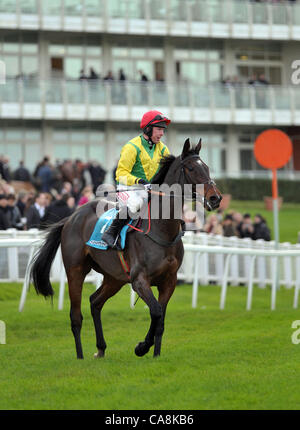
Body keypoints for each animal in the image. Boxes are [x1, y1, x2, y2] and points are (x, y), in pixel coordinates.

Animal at [29, 139, 223, 360]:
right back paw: (80, 356)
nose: (216, 198)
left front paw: (155, 353)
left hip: (114, 277)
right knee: (76, 315)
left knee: (95, 302)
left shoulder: (169, 281)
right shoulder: (139, 280)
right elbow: (156, 311)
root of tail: (70, 218)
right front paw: (142, 347)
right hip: (75, 270)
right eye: (191, 168)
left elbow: (161, 318)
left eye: (206, 167)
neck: (161, 230)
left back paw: (101, 348)